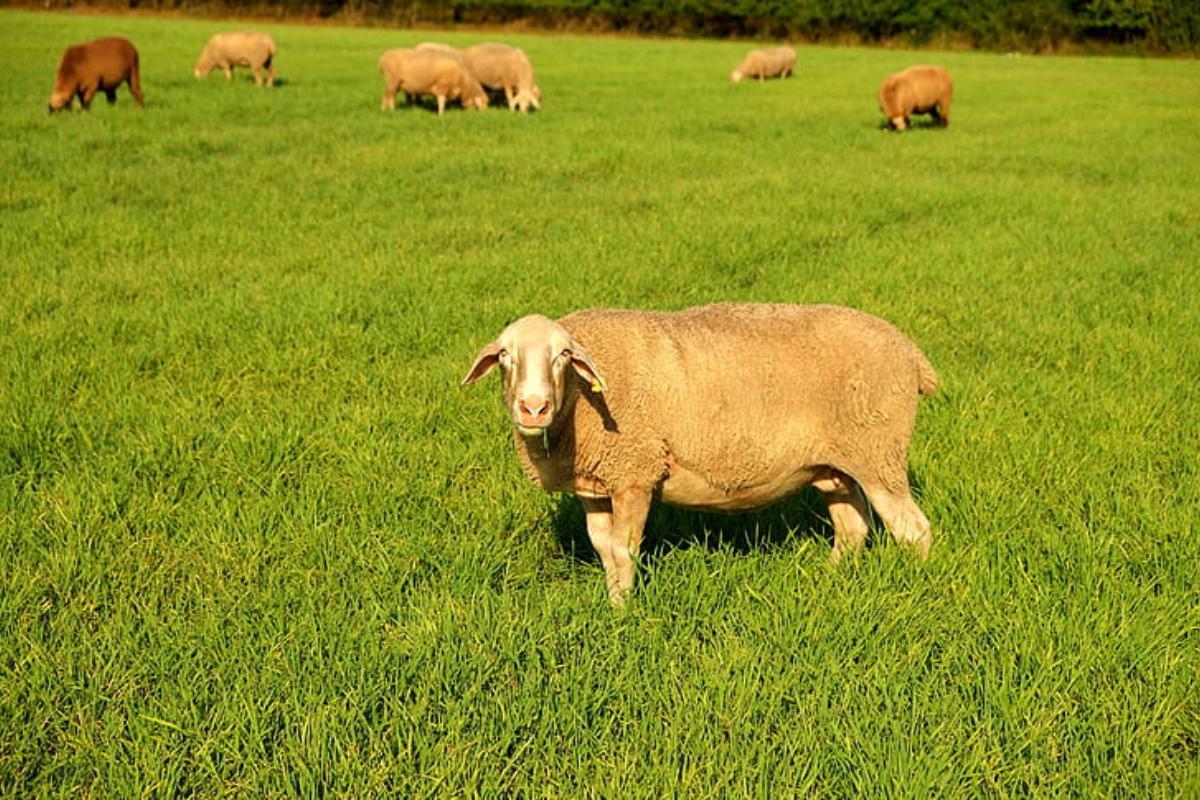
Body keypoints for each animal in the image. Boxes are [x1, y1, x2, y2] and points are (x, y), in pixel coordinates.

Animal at [463, 303, 940, 604]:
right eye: (505, 355)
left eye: (563, 355)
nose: (533, 408)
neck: (582, 398)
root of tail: (911, 352)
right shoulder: (597, 485)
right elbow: (603, 547)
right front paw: (613, 602)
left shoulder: (636, 471)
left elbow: (623, 549)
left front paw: (626, 610)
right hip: (837, 463)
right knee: (853, 526)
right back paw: (831, 578)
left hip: (879, 452)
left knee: (913, 530)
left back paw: (916, 585)